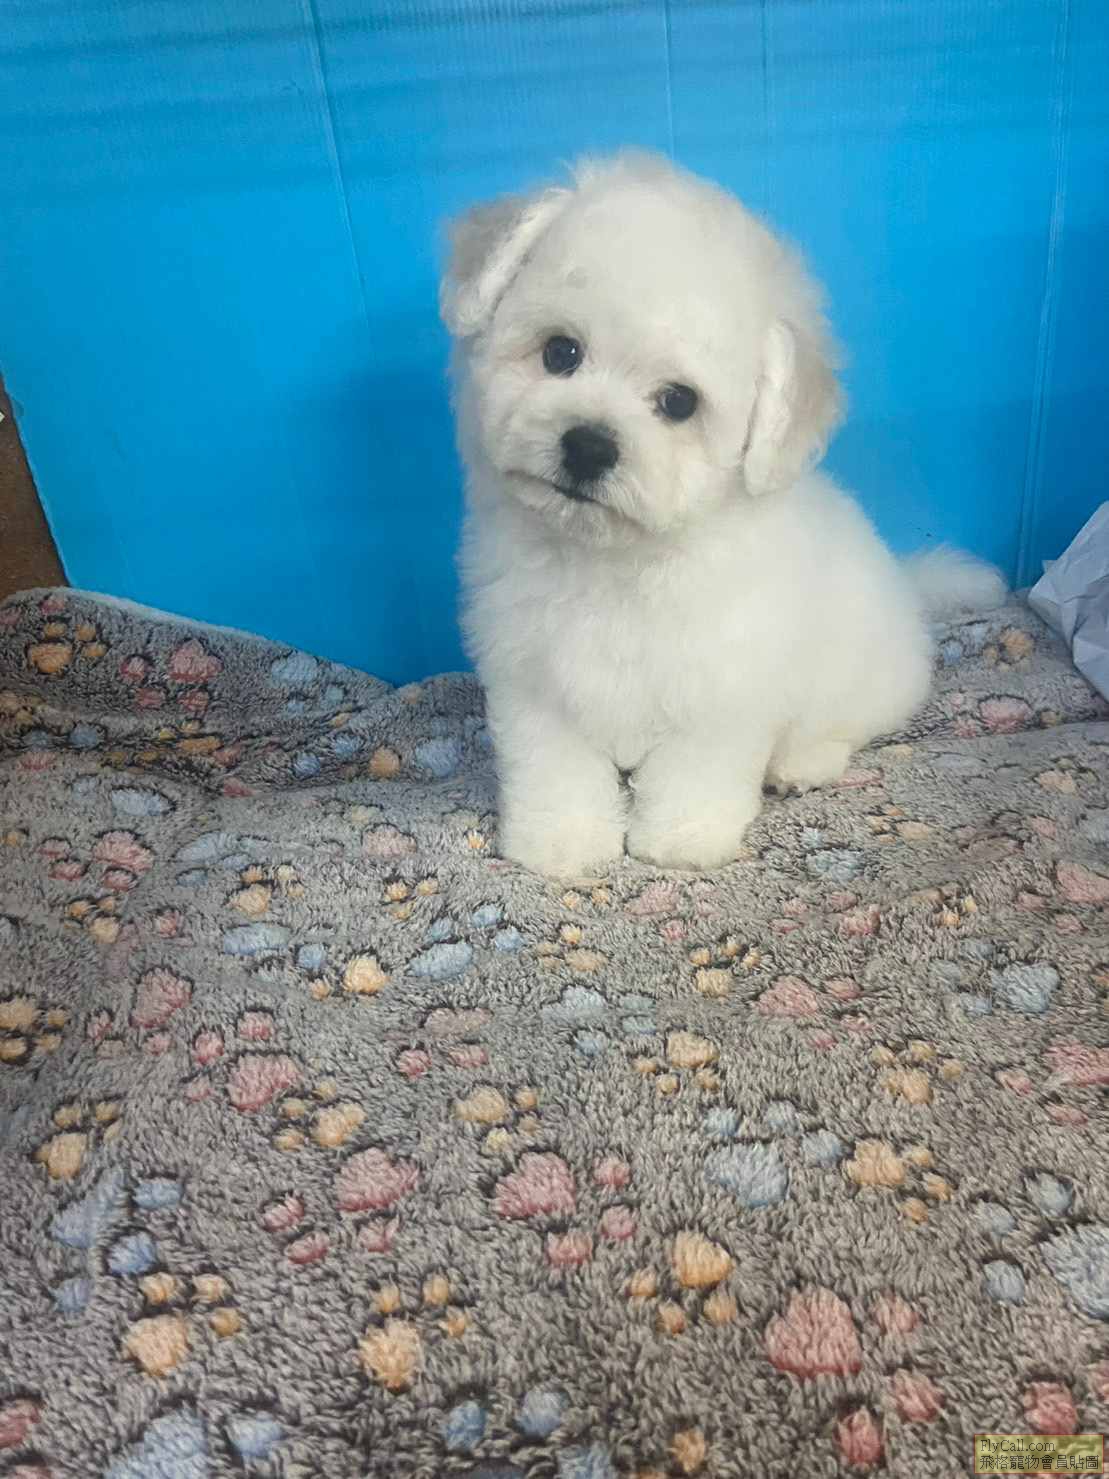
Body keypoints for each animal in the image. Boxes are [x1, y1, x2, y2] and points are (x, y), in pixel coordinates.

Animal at [440, 152, 1004, 878]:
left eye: (678, 402)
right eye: (560, 352)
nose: (588, 445)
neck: (615, 560)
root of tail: (909, 591)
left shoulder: (725, 684)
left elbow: (695, 769)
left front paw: (682, 836)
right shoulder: (532, 679)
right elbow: (554, 766)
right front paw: (561, 839)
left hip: (864, 678)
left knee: (847, 726)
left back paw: (801, 763)